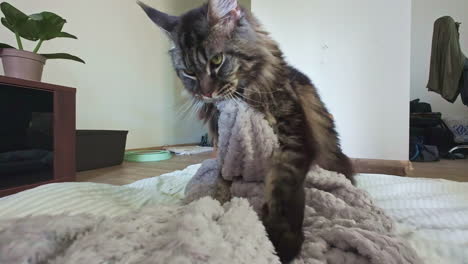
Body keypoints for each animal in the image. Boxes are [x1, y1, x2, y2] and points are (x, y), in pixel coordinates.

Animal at [139, 1, 354, 262]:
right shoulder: (225, 149)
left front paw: (282, 241)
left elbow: (283, 185)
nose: (205, 93)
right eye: (188, 72)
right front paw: (217, 208)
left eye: (217, 60)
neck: (244, 98)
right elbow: (221, 185)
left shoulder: (294, 139)